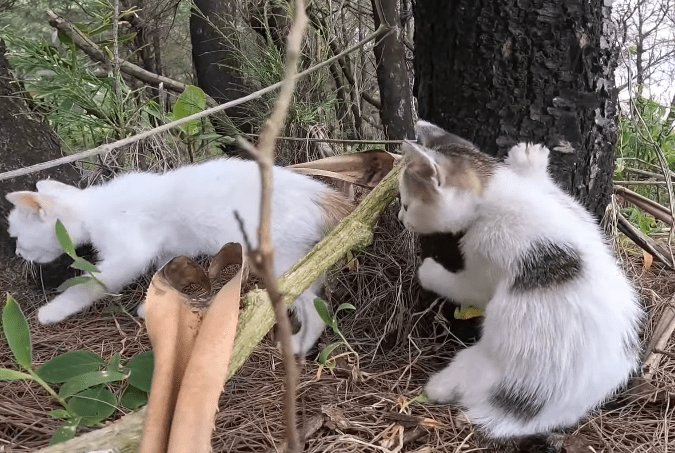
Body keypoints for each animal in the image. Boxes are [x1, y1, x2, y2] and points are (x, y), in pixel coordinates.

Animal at [6, 157, 354, 354]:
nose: (17, 251)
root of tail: (320, 194)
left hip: (279, 262)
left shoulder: (129, 253)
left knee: (316, 309)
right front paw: (152, 304)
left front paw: (53, 311)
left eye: (16, 235)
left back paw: (299, 345)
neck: (94, 207)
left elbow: (90, 285)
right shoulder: (169, 249)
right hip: (304, 256)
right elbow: (164, 272)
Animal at [402, 120, 644, 438]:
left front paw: (428, 271)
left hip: (485, 363)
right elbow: (560, 195)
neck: (499, 197)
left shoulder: (486, 261)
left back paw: (437, 387)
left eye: (407, 205)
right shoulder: (577, 213)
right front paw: (530, 161)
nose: (401, 218)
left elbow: (468, 288)